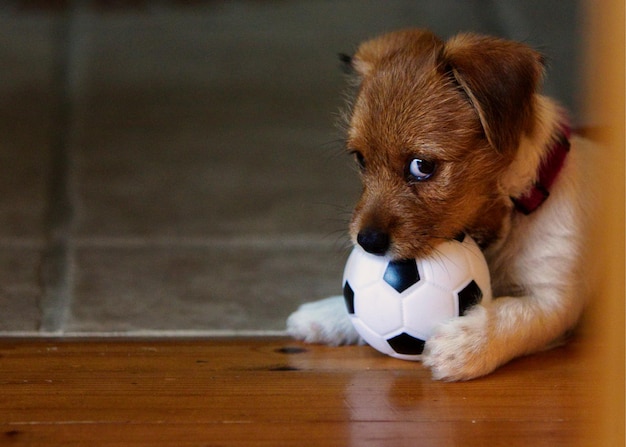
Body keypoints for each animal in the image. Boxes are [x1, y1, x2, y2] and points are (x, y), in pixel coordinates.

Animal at [286, 29, 588, 382]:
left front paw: (466, 342)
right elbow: (356, 304)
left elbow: (515, 313)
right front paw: (328, 313)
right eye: (360, 159)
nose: (367, 242)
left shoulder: (555, 299)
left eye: (422, 166)